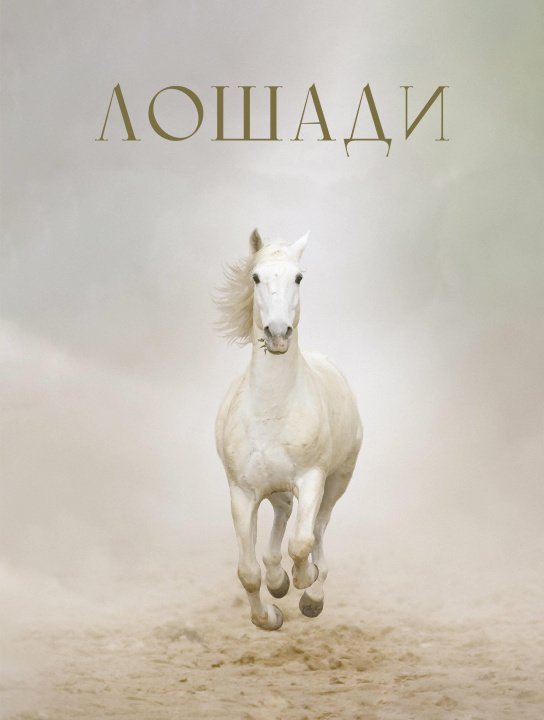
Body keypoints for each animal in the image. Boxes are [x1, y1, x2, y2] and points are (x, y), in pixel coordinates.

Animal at [215, 229, 363, 630]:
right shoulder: (242, 493)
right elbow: (248, 572)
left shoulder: (311, 479)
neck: (272, 411)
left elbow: (301, 543)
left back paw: (312, 592)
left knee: (318, 528)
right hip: (275, 488)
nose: (278, 334)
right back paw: (278, 579)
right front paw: (270, 614)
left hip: (337, 480)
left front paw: (304, 581)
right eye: (255, 277)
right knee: (282, 514)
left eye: (298, 278)